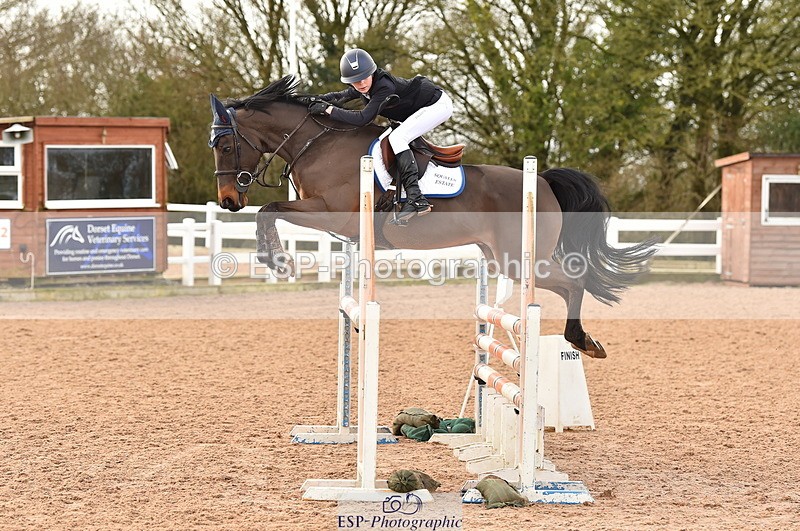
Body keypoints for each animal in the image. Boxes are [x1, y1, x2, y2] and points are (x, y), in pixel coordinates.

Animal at [208, 75, 657, 359]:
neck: (317, 144)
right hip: (502, 259)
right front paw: (276, 259)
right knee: (567, 286)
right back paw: (582, 340)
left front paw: (277, 261)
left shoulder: (335, 216)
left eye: (226, 146)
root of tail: (543, 182)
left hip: (523, 259)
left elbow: (267, 211)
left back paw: (582, 341)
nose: (227, 201)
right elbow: (268, 213)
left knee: (574, 283)